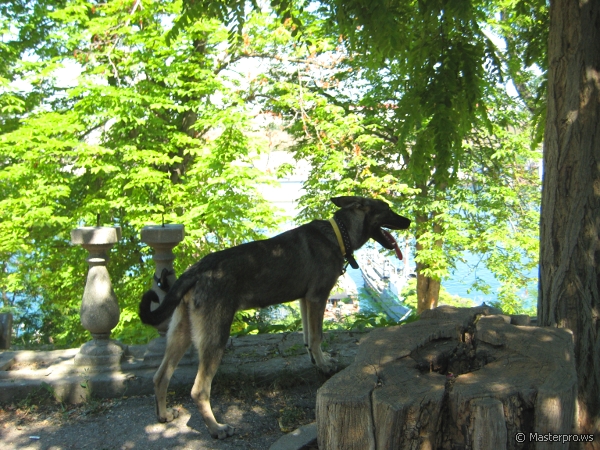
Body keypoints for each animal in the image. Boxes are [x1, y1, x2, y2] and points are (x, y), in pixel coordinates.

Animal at [139, 195, 412, 438]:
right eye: (387, 209)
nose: (408, 221)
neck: (338, 234)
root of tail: (196, 269)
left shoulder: (305, 300)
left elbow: (309, 337)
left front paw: (317, 361)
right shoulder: (318, 297)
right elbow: (318, 336)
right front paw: (324, 366)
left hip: (181, 332)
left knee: (160, 376)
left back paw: (163, 415)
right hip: (215, 336)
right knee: (198, 390)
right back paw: (217, 429)